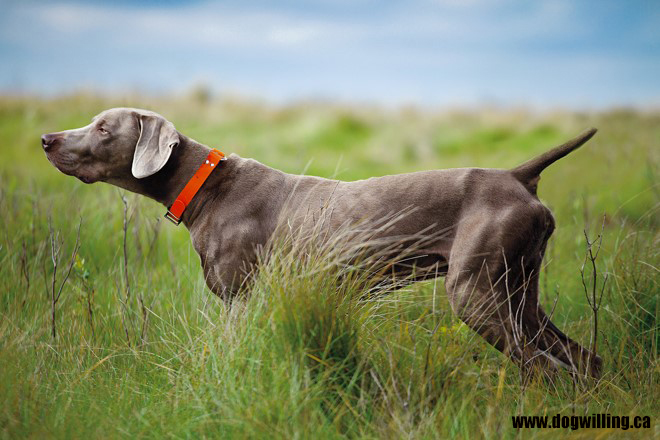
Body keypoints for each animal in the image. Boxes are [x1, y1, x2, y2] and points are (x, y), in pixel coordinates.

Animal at [42, 107, 604, 378]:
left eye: (103, 127)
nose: (46, 139)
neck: (204, 186)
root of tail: (516, 176)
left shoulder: (241, 301)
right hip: (518, 290)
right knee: (581, 360)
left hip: (476, 292)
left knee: (545, 367)